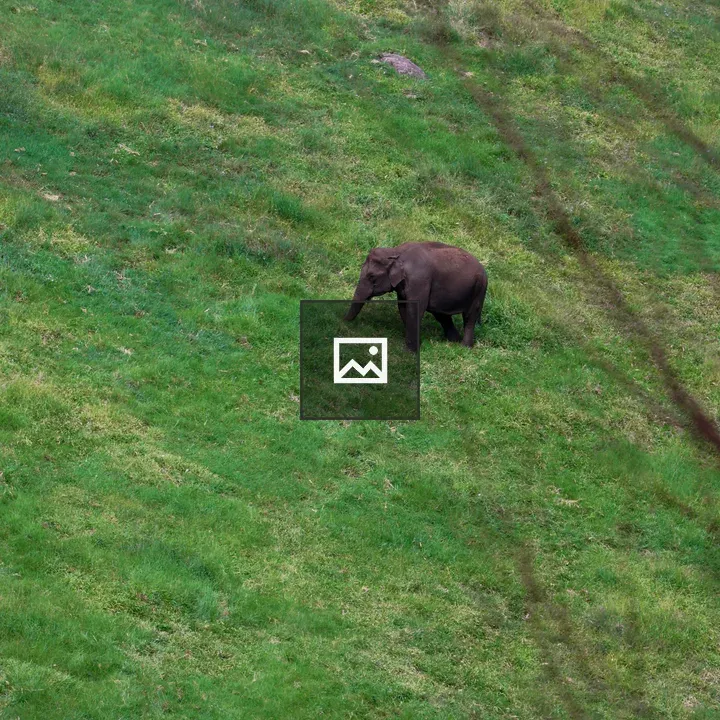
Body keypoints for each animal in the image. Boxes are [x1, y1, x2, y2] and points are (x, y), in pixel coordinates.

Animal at [344, 241, 487, 351]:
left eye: (371, 276)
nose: (344, 322)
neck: (395, 252)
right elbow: (403, 307)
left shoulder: (419, 280)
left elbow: (415, 309)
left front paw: (410, 352)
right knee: (442, 315)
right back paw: (454, 341)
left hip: (479, 290)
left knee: (469, 316)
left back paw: (464, 347)